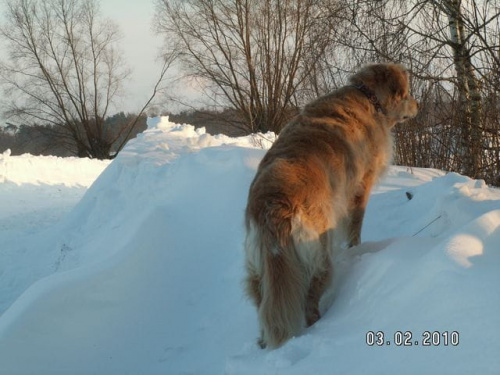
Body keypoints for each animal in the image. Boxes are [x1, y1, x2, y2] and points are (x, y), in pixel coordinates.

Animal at [242, 62, 418, 350]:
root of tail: (274, 202)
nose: (418, 104)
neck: (368, 97)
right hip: (319, 255)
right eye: (407, 93)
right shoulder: (361, 187)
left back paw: (263, 341)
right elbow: (356, 226)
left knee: (263, 307)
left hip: (259, 270)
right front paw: (357, 249)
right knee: (310, 301)